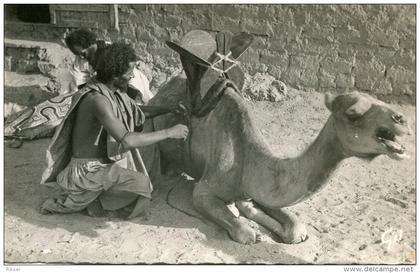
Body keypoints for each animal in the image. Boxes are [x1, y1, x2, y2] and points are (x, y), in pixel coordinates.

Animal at [139, 30, 408, 243]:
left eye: (378, 100)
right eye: (353, 114)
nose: (401, 119)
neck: (247, 161)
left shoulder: (259, 188)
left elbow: (295, 227)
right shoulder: (204, 191)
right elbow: (243, 232)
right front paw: (250, 228)